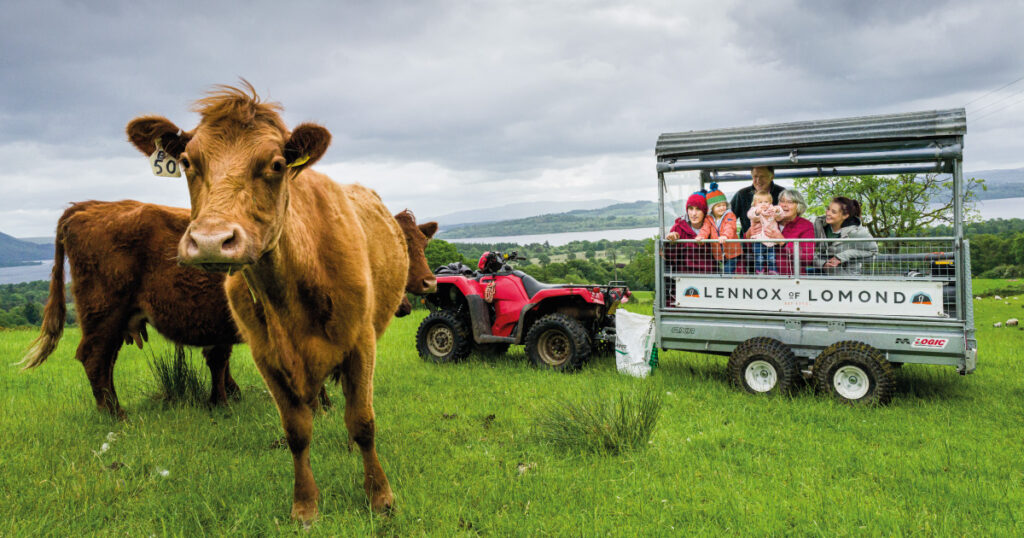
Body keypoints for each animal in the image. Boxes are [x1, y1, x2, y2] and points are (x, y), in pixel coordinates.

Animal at [19, 199, 436, 416]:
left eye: (422, 244)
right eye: (399, 244)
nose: (430, 283)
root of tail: (88, 207)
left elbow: (220, 361)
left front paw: (225, 397)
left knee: (102, 362)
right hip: (104, 313)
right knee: (94, 358)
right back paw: (114, 413)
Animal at [130, 81, 409, 518]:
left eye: (277, 164)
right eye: (188, 162)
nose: (211, 240)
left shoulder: (361, 342)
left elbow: (363, 421)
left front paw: (379, 497)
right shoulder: (266, 355)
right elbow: (296, 430)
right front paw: (305, 506)